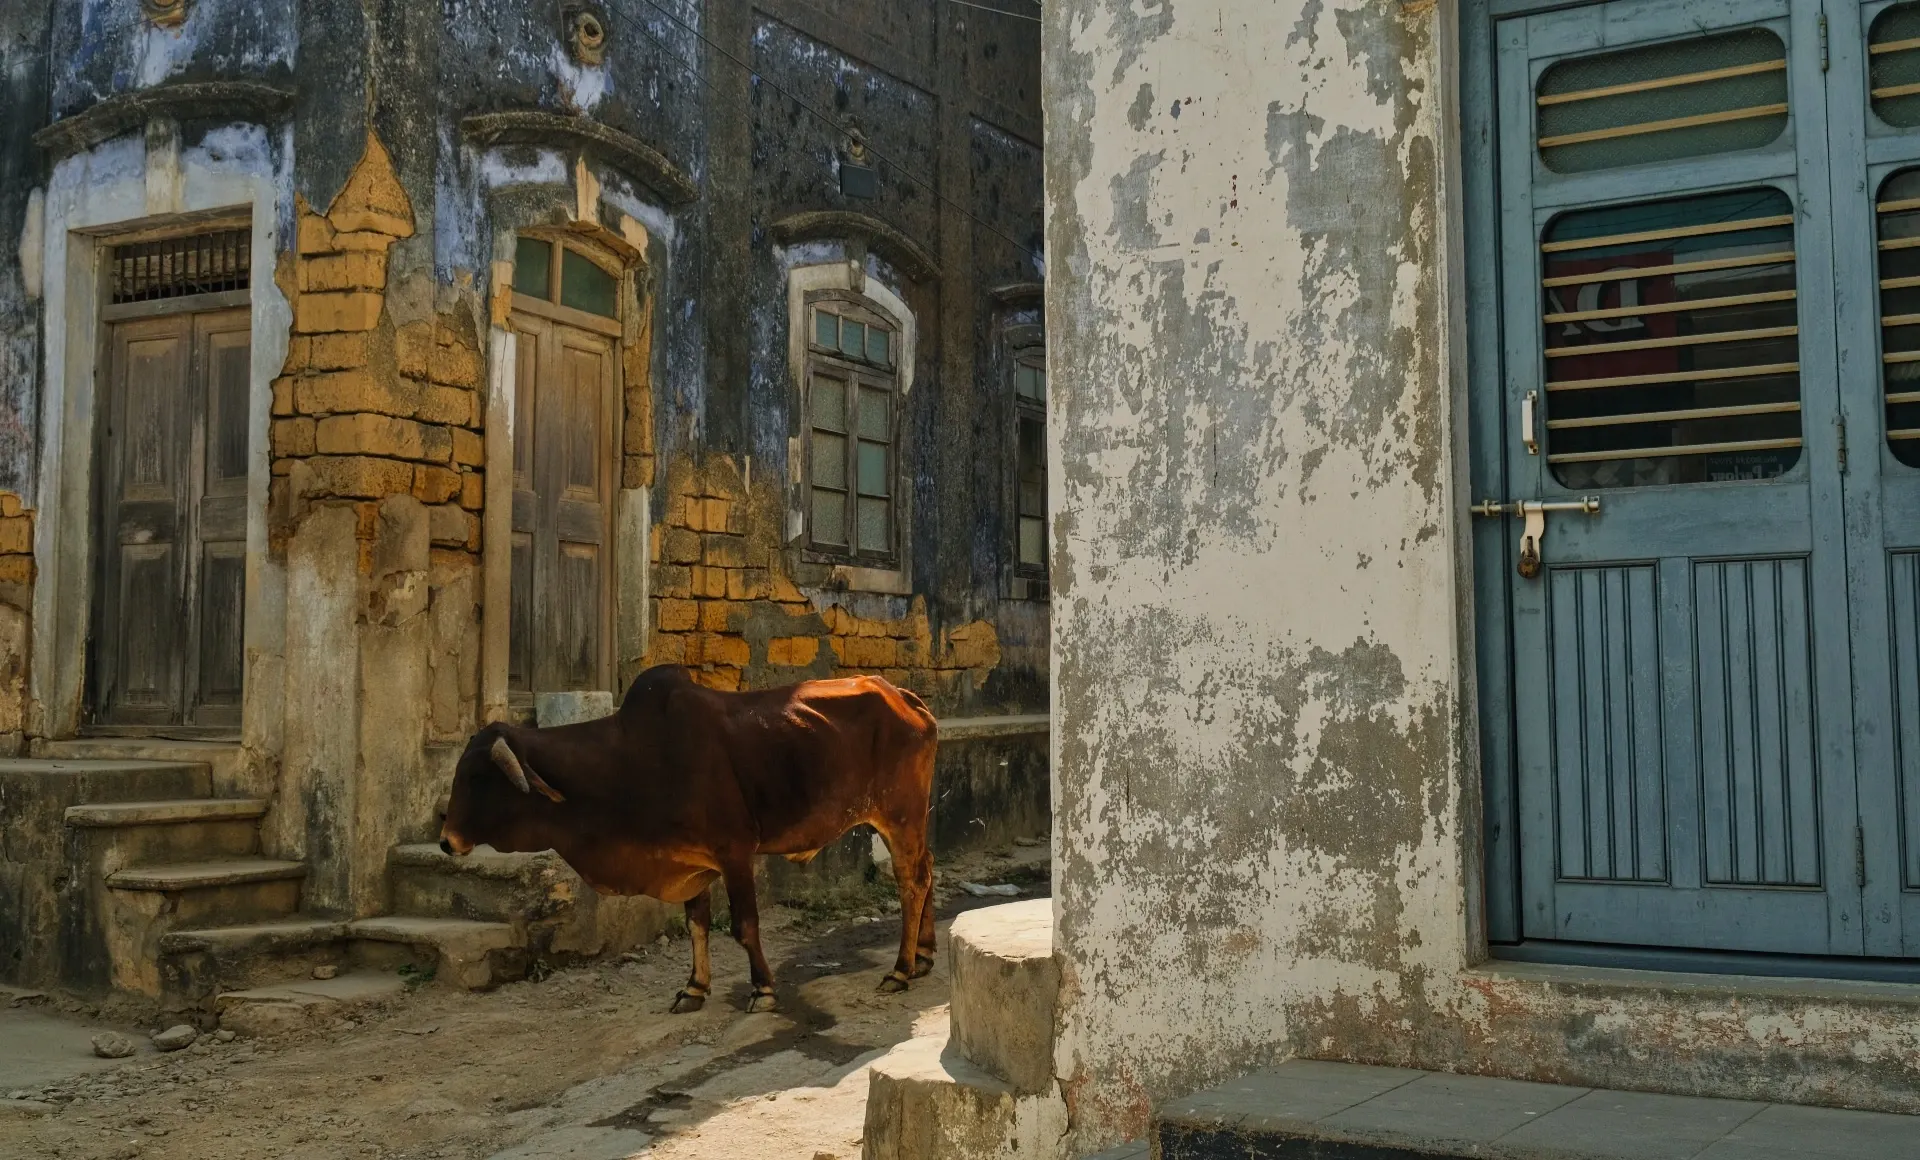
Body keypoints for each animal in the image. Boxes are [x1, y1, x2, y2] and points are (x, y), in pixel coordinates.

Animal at [437, 664, 940, 1013]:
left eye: (478, 778)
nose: (446, 841)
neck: (628, 763)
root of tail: (904, 697)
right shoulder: (692, 861)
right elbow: (696, 924)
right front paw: (694, 988)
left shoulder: (734, 852)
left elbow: (743, 926)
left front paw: (763, 990)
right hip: (908, 821)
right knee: (928, 871)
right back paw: (925, 955)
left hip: (900, 815)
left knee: (911, 881)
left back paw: (901, 970)